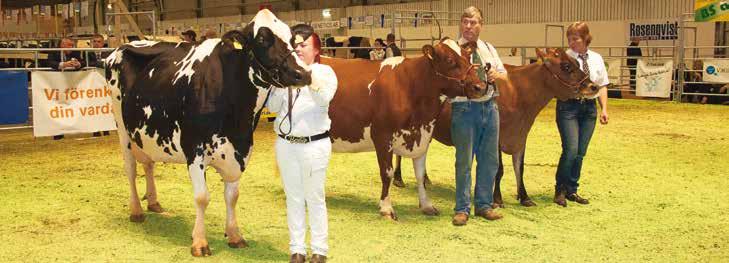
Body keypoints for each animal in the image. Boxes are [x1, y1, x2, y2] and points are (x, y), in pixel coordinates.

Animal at [105, 9, 310, 258]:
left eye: (292, 38)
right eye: (262, 39)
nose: (302, 73)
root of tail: (125, 45)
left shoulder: (239, 151)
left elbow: (232, 196)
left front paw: (234, 235)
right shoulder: (194, 149)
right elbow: (202, 197)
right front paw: (200, 242)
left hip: (145, 134)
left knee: (148, 164)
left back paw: (153, 202)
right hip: (121, 127)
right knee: (131, 169)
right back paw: (136, 210)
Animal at [322, 38, 486, 220]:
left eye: (468, 56)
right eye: (450, 60)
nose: (480, 87)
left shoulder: (423, 137)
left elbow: (420, 175)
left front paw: (427, 205)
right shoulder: (382, 136)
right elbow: (387, 173)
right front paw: (386, 208)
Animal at [392, 48, 596, 208]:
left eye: (575, 62)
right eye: (566, 66)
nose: (593, 85)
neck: (518, 93)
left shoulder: (521, 136)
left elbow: (519, 168)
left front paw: (525, 197)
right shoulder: (497, 136)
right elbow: (499, 169)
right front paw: (497, 199)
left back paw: (426, 179)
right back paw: (398, 178)